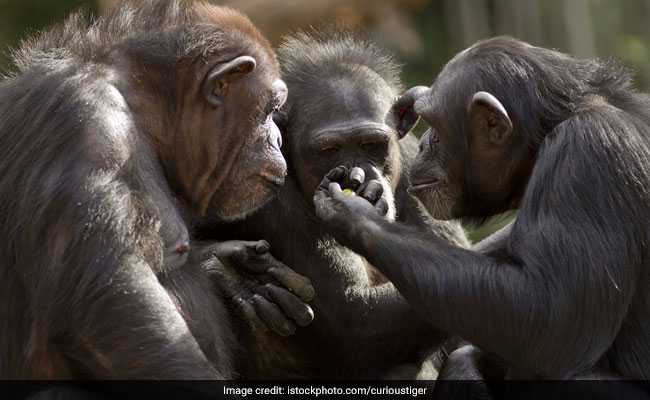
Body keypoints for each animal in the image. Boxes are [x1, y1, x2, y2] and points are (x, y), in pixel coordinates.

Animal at [0, 0, 314, 384]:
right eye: (271, 109)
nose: (278, 138)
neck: (141, 110)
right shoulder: (84, 123)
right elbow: (112, 305)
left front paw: (232, 273)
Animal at [197, 30, 466, 378]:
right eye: (329, 149)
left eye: (372, 144)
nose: (357, 175)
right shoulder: (270, 201)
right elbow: (353, 317)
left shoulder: (416, 164)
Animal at [312, 35, 648, 388]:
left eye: (435, 126)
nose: (423, 143)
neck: (545, 136)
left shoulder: (588, 152)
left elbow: (552, 317)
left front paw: (355, 212)